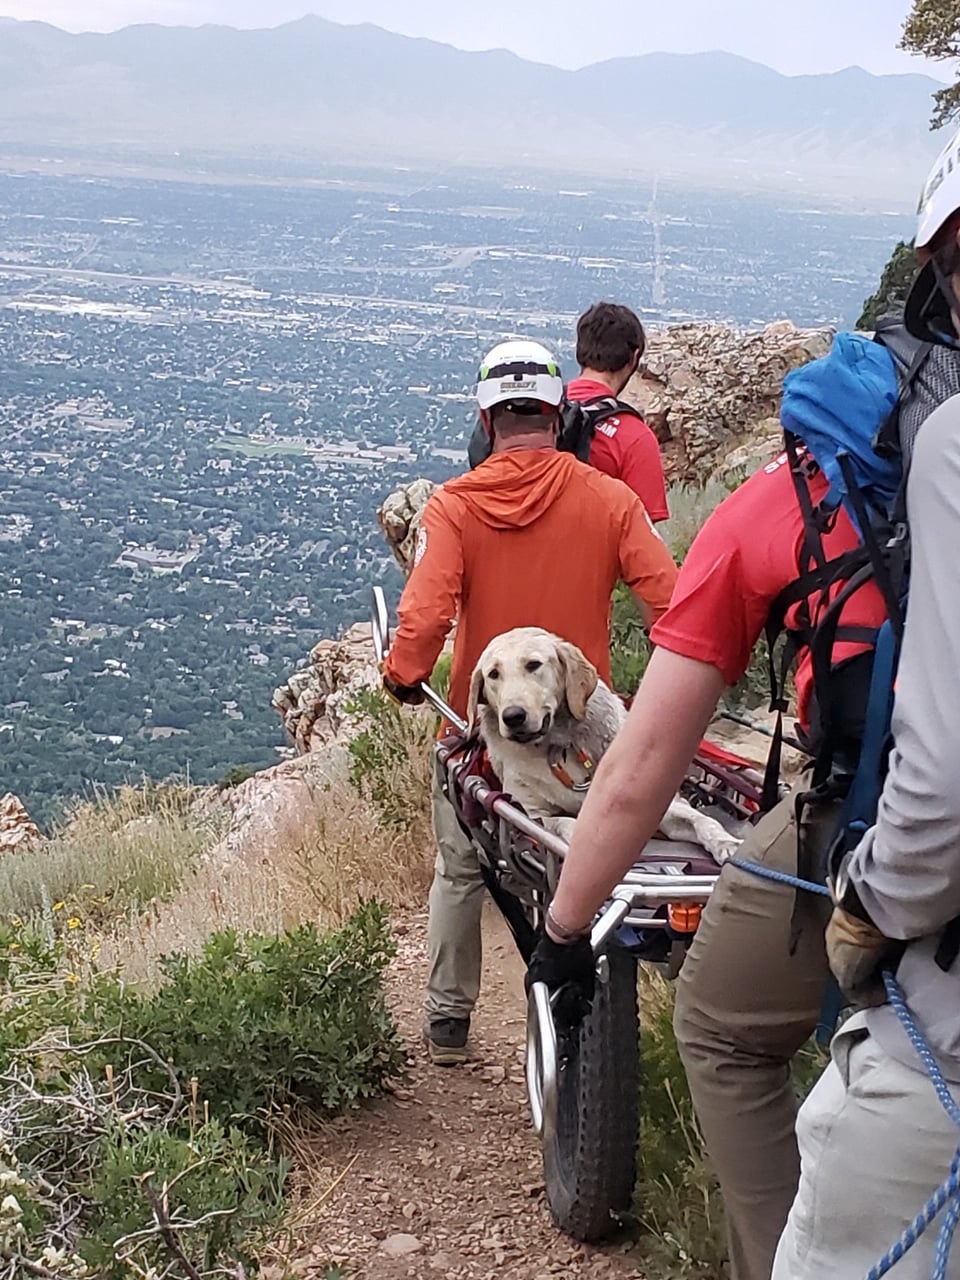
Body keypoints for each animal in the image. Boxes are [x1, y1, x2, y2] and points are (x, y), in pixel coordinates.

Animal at [471, 627, 747, 865]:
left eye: (533, 665)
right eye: (493, 674)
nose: (513, 716)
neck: (556, 746)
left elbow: (702, 820)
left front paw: (727, 843)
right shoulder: (531, 813)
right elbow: (561, 822)